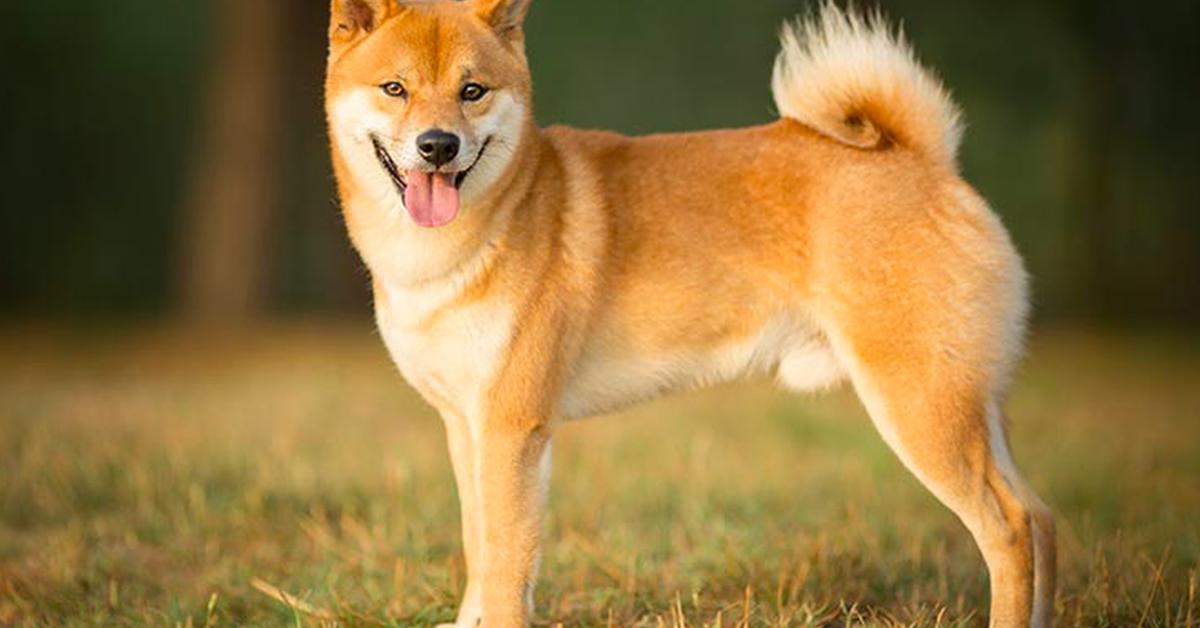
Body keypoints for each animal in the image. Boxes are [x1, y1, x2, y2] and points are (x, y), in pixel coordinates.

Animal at [324, 1, 1056, 624]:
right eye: (395, 89)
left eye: (473, 91)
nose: (438, 145)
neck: (473, 234)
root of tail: (927, 161)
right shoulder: (465, 424)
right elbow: (481, 549)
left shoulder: (512, 427)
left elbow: (506, 563)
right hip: (971, 408)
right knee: (1042, 517)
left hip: (921, 406)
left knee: (1010, 528)